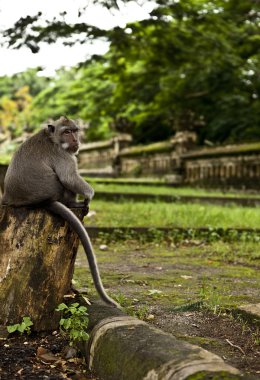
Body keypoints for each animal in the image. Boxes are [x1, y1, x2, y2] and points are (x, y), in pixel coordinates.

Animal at [1, 116, 118, 308]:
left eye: (75, 130)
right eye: (67, 132)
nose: (75, 140)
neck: (53, 138)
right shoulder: (63, 155)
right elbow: (69, 178)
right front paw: (89, 195)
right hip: (58, 193)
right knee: (64, 183)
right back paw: (74, 203)